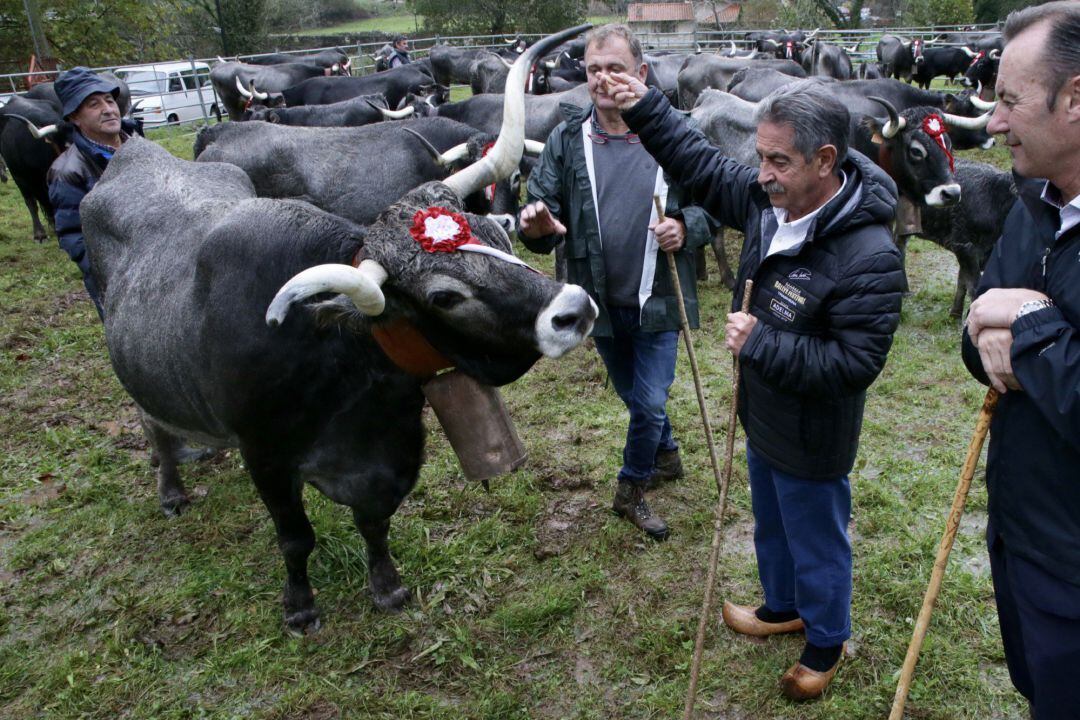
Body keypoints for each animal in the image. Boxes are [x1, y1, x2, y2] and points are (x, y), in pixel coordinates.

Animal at [79, 22, 596, 634]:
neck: (339, 364)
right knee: (151, 424)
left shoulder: (390, 459)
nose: (575, 308)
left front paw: (387, 586)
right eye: (444, 296)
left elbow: (375, 524)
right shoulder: (268, 460)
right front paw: (300, 607)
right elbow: (295, 540)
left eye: (496, 238)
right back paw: (171, 487)